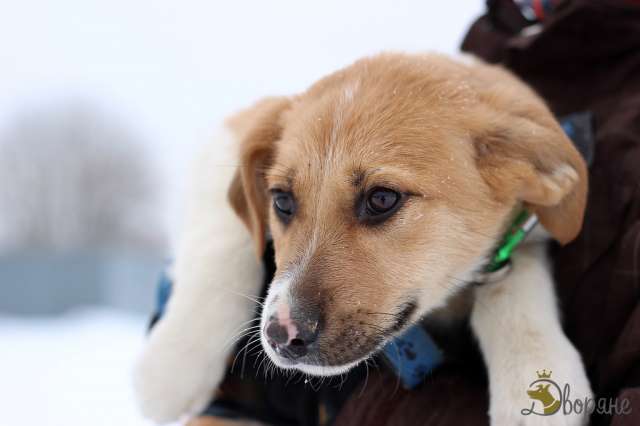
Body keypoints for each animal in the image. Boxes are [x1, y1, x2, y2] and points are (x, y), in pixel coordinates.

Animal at [136, 53, 596, 426]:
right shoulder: (234, 130)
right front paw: (171, 367)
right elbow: (219, 237)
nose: (281, 336)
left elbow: (516, 273)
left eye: (381, 199)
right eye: (281, 200)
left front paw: (535, 368)